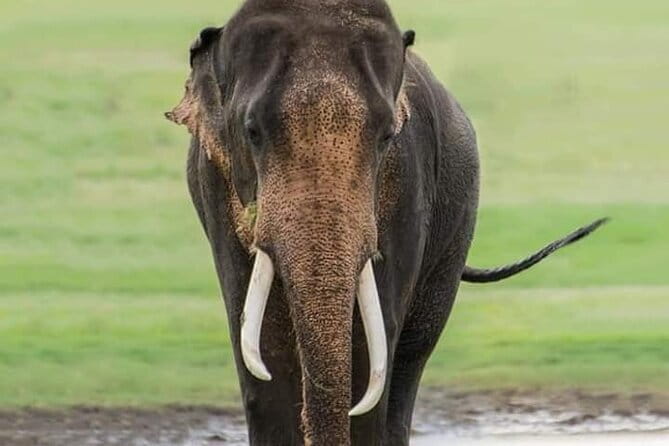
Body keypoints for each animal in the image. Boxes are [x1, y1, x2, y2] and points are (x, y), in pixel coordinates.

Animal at [165, 0, 607, 444]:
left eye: (387, 136)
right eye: (252, 131)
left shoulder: (407, 187)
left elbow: (371, 341)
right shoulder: (213, 188)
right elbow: (262, 348)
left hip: (454, 237)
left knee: (411, 356)